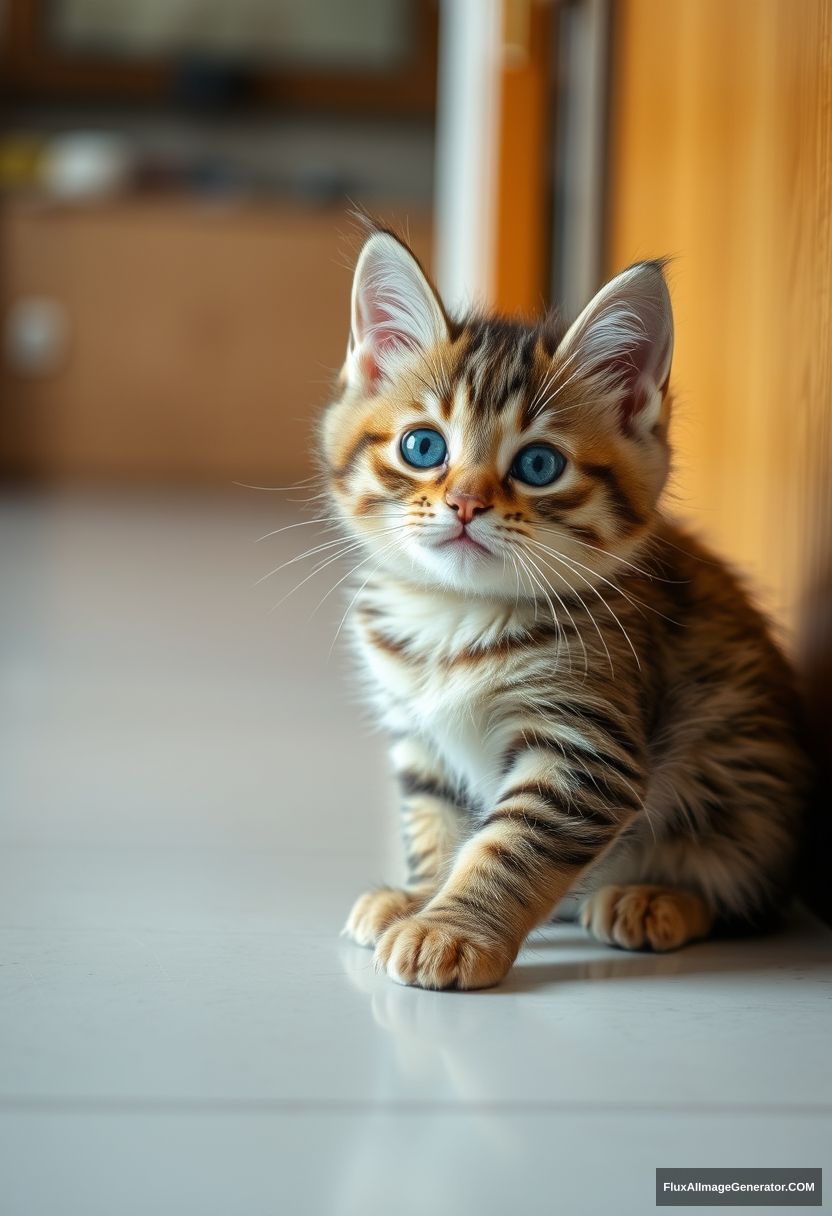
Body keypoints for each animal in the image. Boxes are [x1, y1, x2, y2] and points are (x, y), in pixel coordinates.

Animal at [321, 226, 807, 987]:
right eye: (423, 447)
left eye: (539, 465)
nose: (465, 502)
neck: (455, 617)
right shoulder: (422, 737)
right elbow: (437, 821)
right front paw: (421, 895)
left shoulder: (586, 748)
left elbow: (509, 848)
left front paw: (452, 930)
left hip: (747, 787)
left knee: (746, 894)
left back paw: (658, 897)